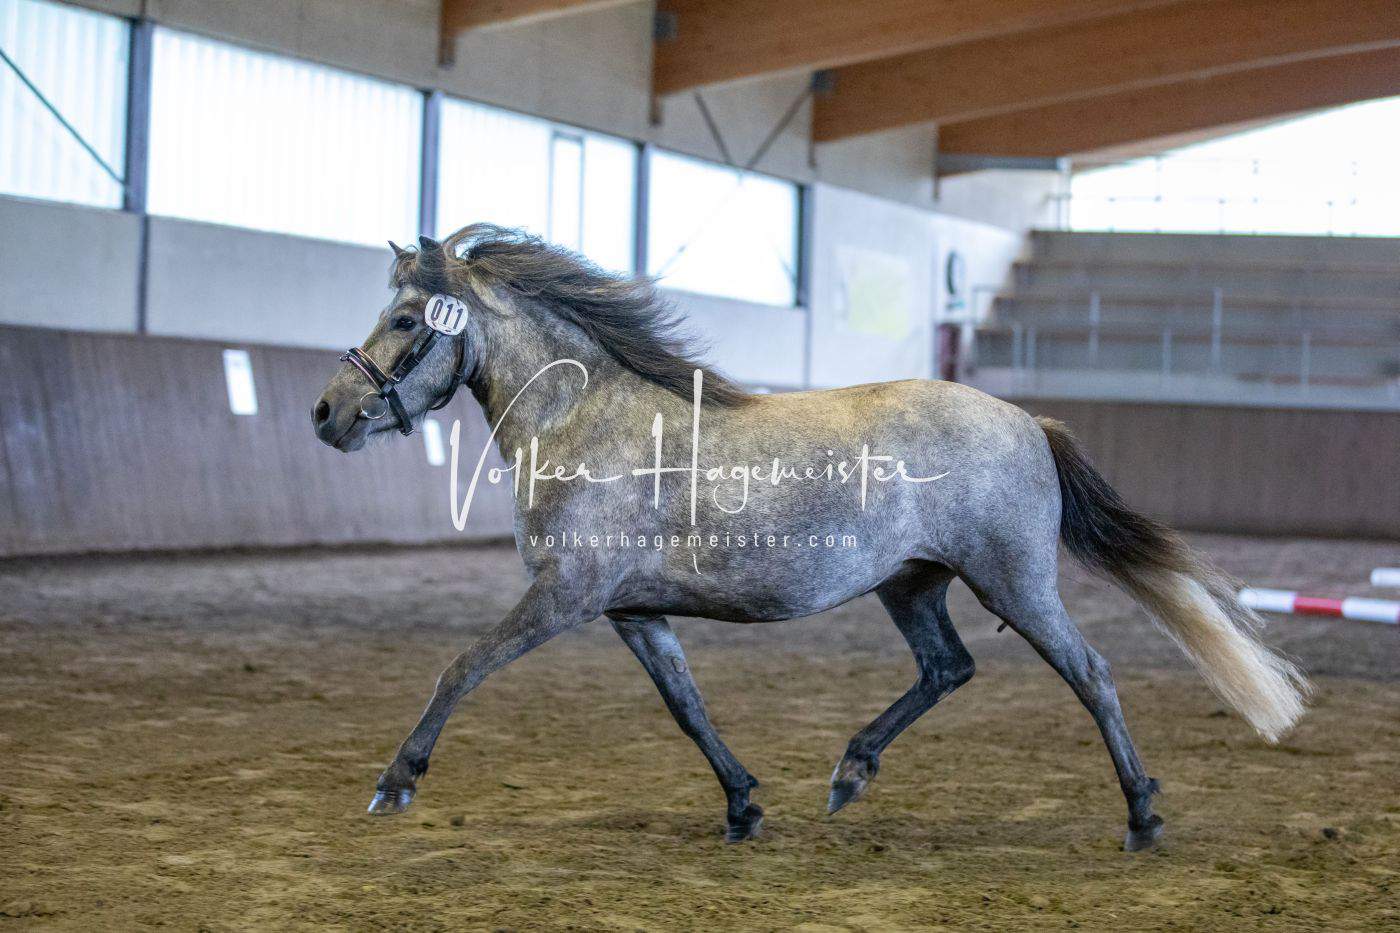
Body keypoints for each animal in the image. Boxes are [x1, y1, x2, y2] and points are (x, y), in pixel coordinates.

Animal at [311, 224, 1308, 850]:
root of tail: (1028, 419)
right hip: (912, 582)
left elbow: (462, 666)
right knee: (947, 668)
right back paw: (850, 772)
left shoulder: (565, 595)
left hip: (1014, 582)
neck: (585, 419)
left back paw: (1142, 816)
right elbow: (687, 706)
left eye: (405, 320)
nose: (328, 413)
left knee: (1090, 674)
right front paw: (743, 805)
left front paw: (396, 780)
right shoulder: (633, 612)